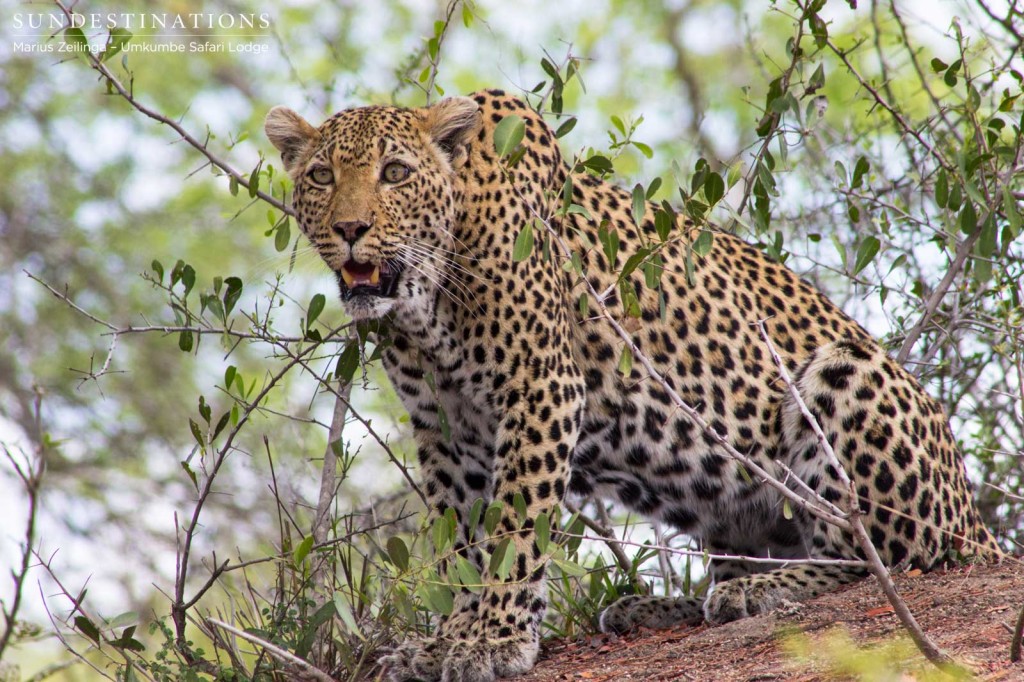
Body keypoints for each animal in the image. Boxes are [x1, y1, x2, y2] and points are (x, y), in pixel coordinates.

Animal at [266, 90, 999, 679]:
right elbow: (461, 543)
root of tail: (978, 523)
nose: (350, 230)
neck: (427, 301)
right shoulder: (446, 429)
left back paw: (759, 591)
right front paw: (447, 637)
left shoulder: (539, 386)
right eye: (321, 176)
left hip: (844, 375)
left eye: (394, 173)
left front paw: (493, 639)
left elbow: (515, 528)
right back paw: (658, 606)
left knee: (880, 556)